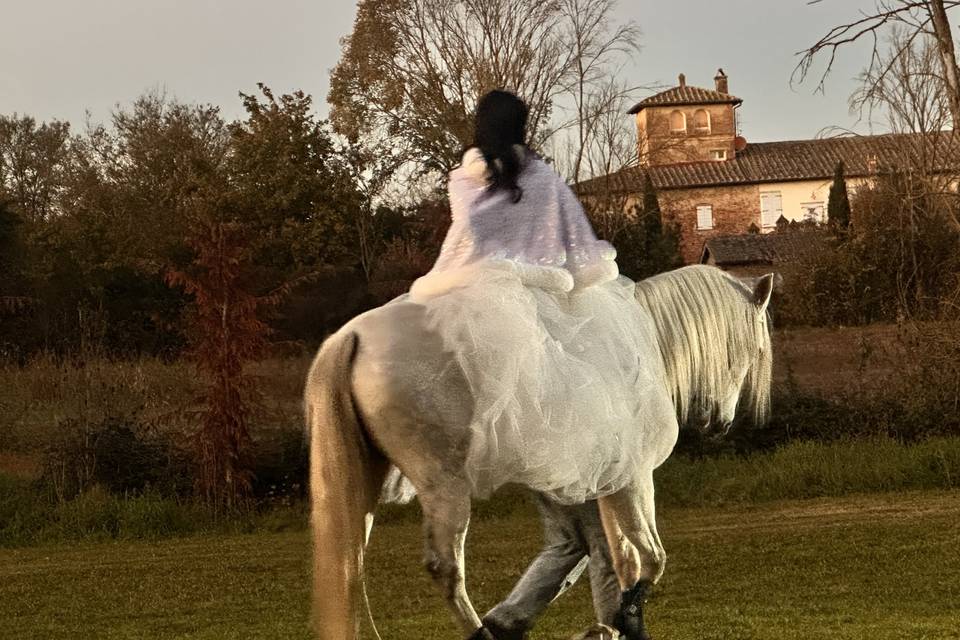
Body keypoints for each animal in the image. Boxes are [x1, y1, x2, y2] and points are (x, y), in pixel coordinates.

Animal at [305, 264, 774, 639]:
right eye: (755, 350)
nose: (722, 422)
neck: (643, 344)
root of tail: (352, 335)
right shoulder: (634, 477)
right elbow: (649, 559)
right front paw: (622, 619)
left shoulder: (598, 485)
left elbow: (617, 559)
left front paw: (611, 623)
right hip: (443, 486)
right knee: (445, 568)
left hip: (364, 485)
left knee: (350, 568)